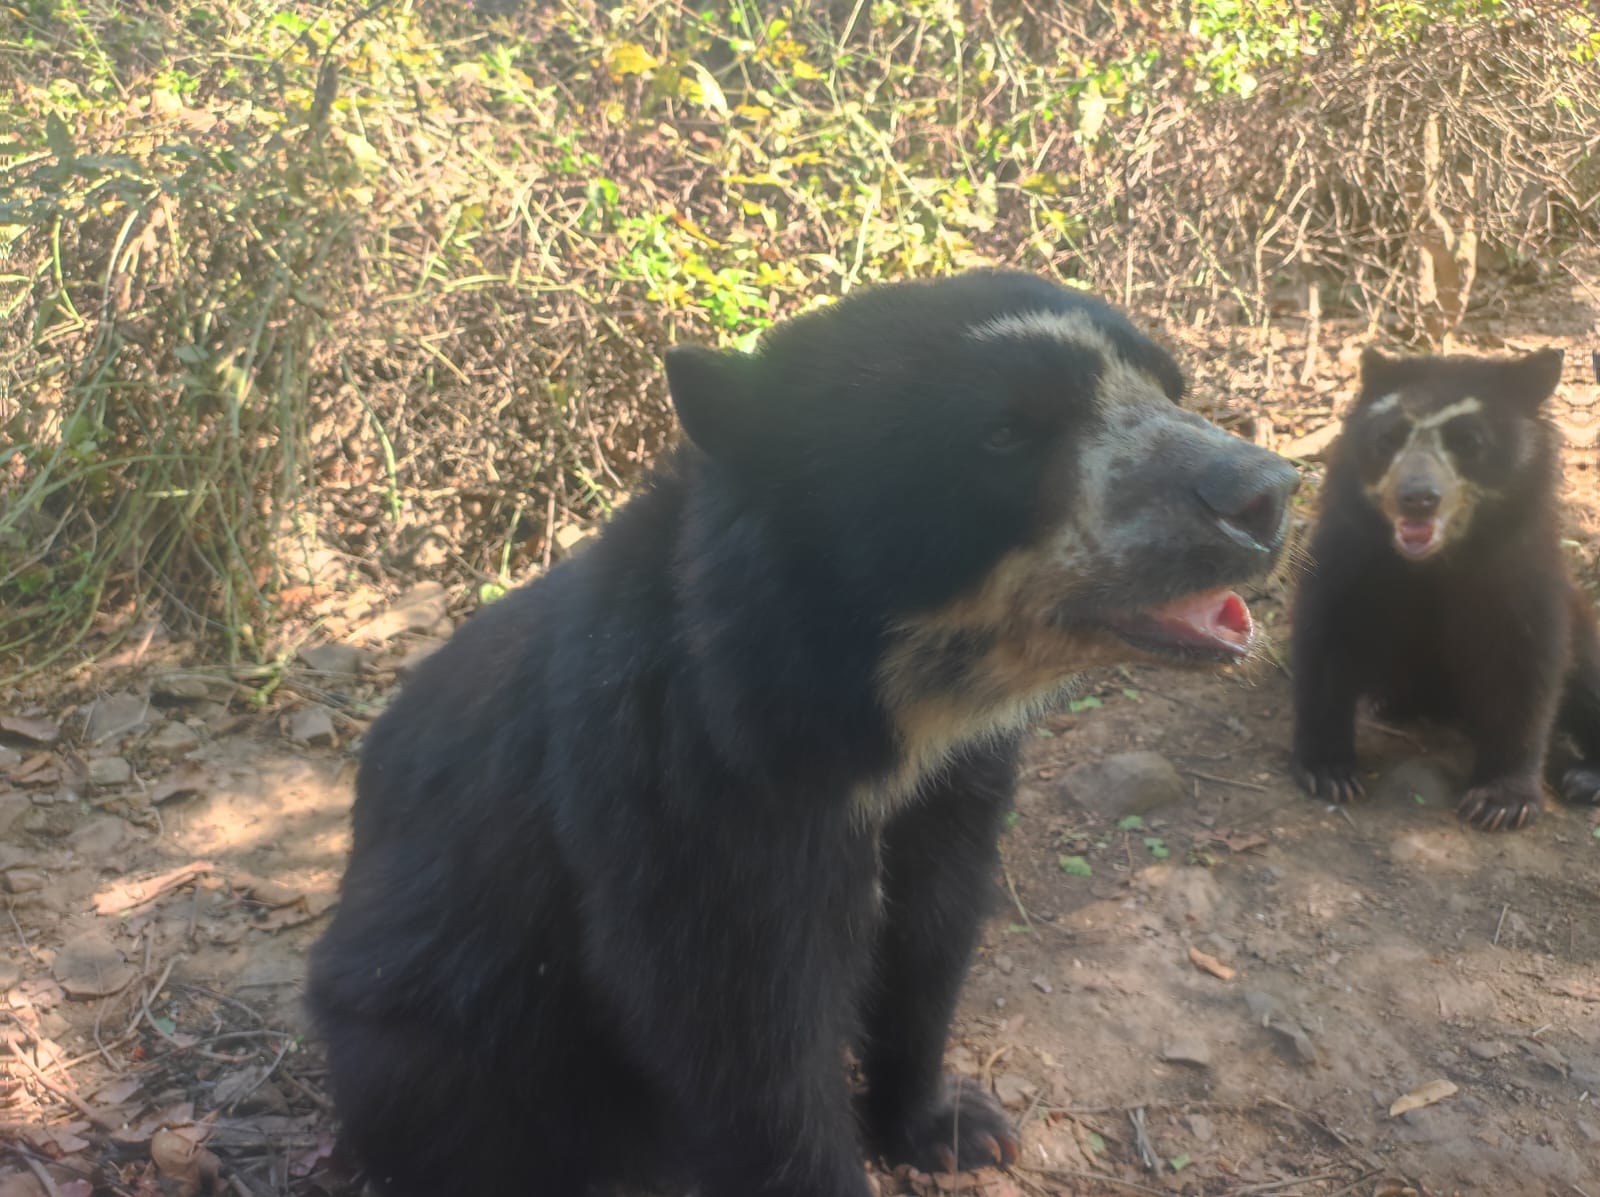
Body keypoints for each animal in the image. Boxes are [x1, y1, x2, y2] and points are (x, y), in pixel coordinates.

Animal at [305, 268, 1300, 1197]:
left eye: (1171, 386)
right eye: (1005, 433)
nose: (1265, 493)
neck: (880, 712)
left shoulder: (953, 786)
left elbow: (931, 935)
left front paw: (953, 1126)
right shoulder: (680, 785)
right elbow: (742, 1028)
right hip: (428, 1029)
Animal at [1291, 344, 1600, 830]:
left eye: (1469, 442)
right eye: (1388, 439)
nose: (1417, 497)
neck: (1433, 566)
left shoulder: (1522, 575)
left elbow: (1525, 670)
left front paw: (1501, 802)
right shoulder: (1347, 559)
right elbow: (1326, 641)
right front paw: (1329, 772)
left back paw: (1585, 778)